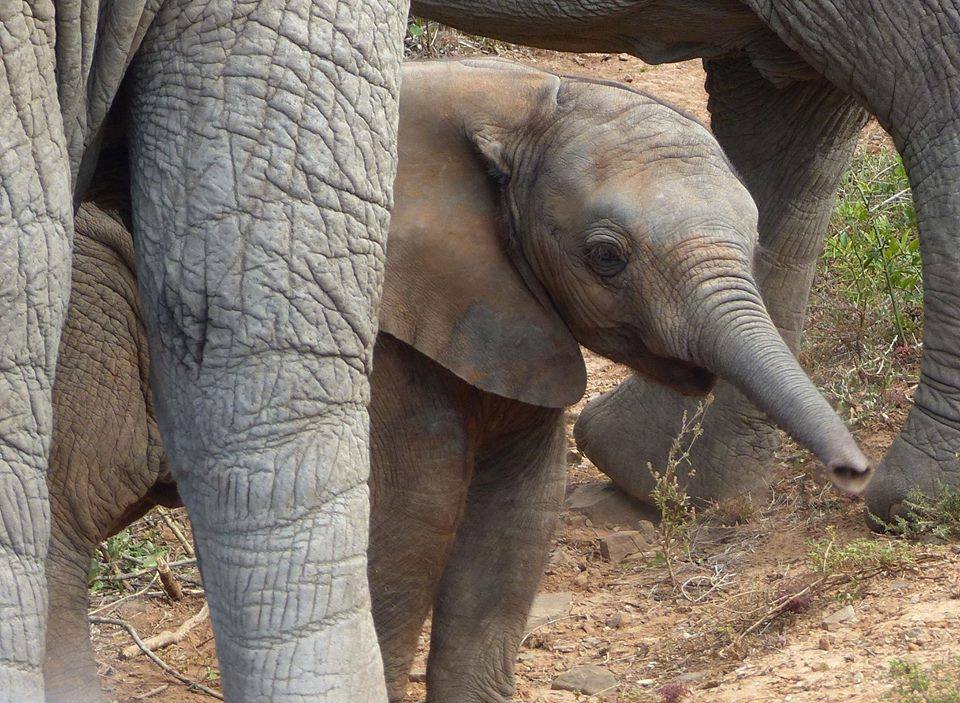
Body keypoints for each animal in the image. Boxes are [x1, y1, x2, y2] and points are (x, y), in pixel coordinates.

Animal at [43, 59, 872, 703]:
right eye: (607, 256)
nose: (855, 473)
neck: (523, 98)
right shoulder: (384, 330)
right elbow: (415, 517)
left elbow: (518, 519)